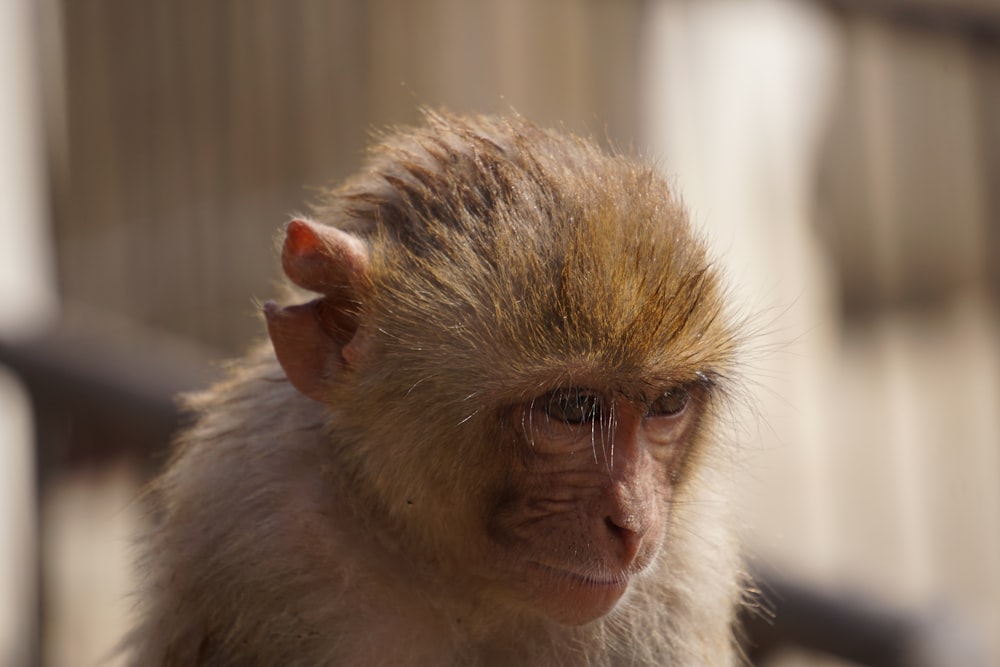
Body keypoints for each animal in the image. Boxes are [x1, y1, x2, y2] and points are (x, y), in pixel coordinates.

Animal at [121, 111, 752, 667]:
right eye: (573, 409)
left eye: (668, 404)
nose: (634, 526)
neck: (460, 587)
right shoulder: (252, 526)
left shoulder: (683, 582)